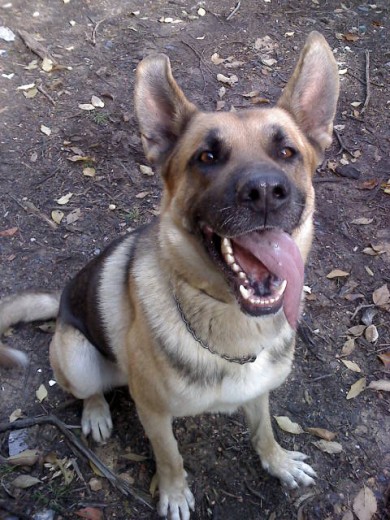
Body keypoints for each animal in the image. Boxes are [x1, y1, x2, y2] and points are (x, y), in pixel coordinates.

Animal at [0, 32, 338, 520]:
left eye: (286, 152)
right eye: (207, 156)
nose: (264, 192)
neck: (228, 323)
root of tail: (61, 300)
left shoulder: (259, 393)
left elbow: (264, 430)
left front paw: (276, 462)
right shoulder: (155, 414)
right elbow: (170, 456)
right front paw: (175, 493)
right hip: (77, 357)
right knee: (88, 391)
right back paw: (96, 413)